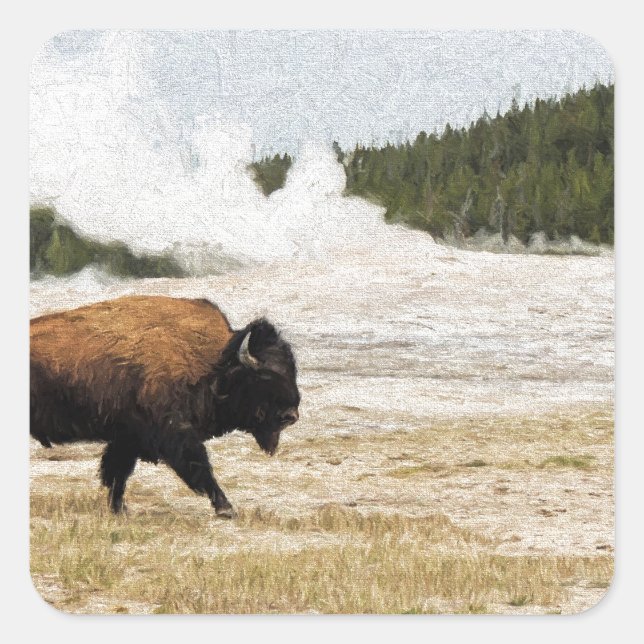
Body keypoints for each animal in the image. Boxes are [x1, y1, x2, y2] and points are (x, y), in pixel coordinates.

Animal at [30, 295, 300, 517]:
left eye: (291, 370)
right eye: (264, 377)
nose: (291, 415)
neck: (213, 364)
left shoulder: (126, 438)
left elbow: (117, 474)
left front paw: (119, 510)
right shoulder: (174, 432)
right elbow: (199, 466)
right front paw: (226, 509)